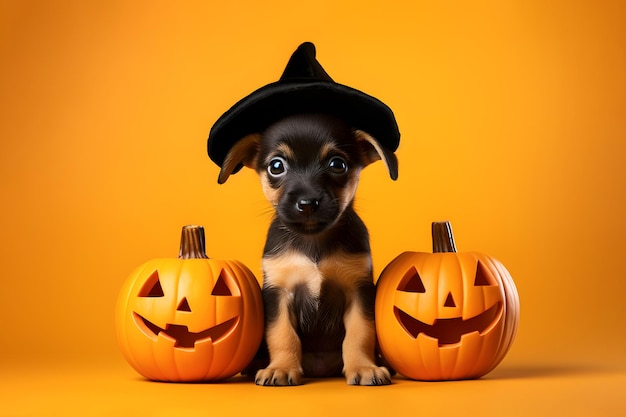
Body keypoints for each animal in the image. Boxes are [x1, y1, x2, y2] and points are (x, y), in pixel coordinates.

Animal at [217, 113, 398, 384]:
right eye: (276, 166)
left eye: (337, 164)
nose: (307, 203)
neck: (312, 241)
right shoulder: (279, 292)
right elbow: (282, 334)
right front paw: (281, 368)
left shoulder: (358, 290)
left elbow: (360, 333)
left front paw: (364, 367)